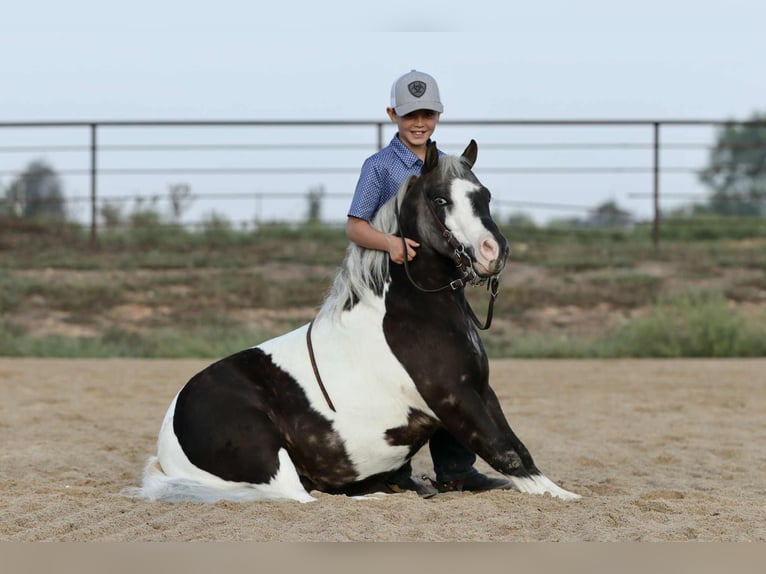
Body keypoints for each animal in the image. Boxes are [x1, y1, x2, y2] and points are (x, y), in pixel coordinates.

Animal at [127, 140, 580, 503]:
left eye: (483, 195)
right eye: (439, 200)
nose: (493, 252)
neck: (413, 314)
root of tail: (169, 439)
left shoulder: (481, 391)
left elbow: (516, 446)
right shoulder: (455, 399)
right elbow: (504, 449)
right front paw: (563, 497)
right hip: (265, 452)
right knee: (301, 497)